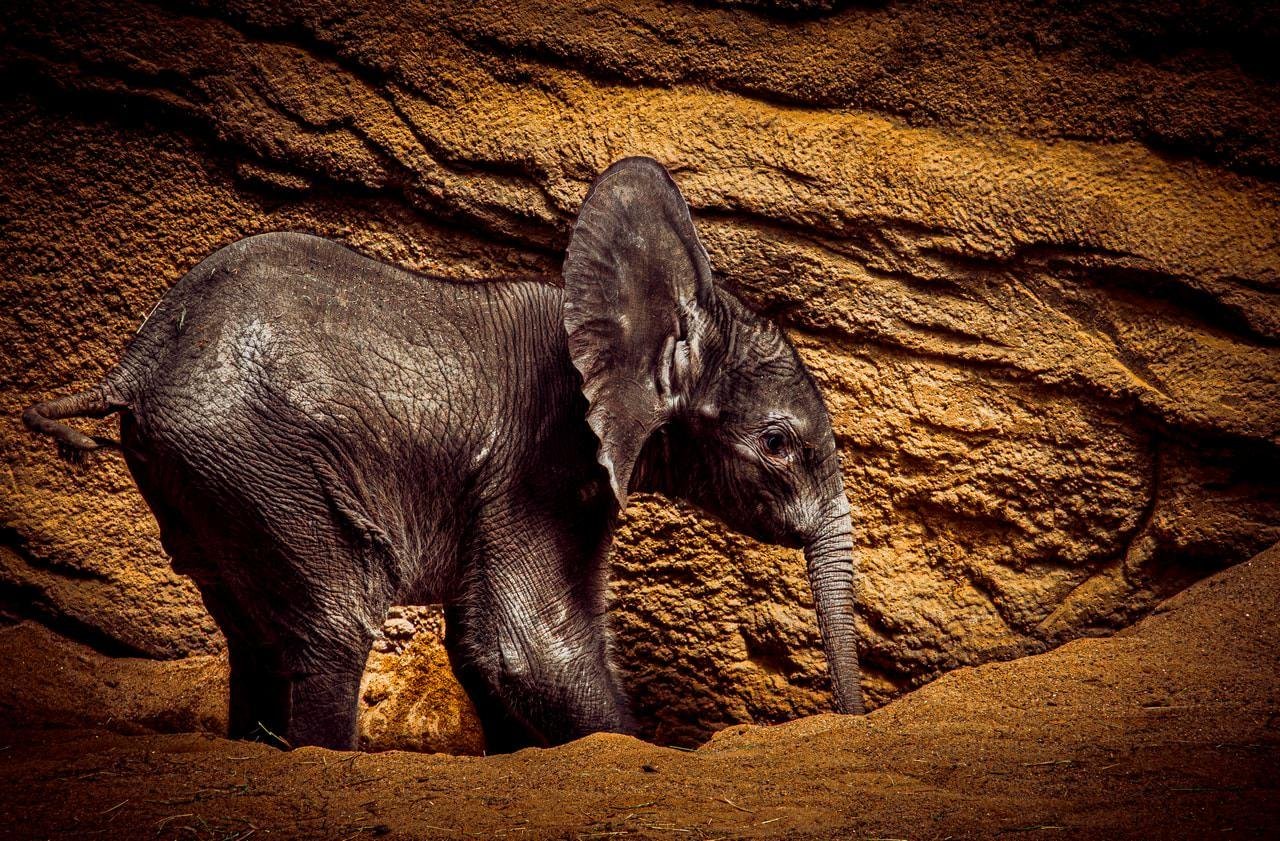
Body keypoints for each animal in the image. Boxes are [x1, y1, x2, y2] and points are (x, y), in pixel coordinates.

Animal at [22, 157, 863, 752]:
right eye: (778, 444)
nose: (847, 720)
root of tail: (137, 361)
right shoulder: (542, 456)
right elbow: (533, 647)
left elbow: (482, 647)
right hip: (255, 458)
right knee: (334, 616)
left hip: (201, 471)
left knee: (252, 630)